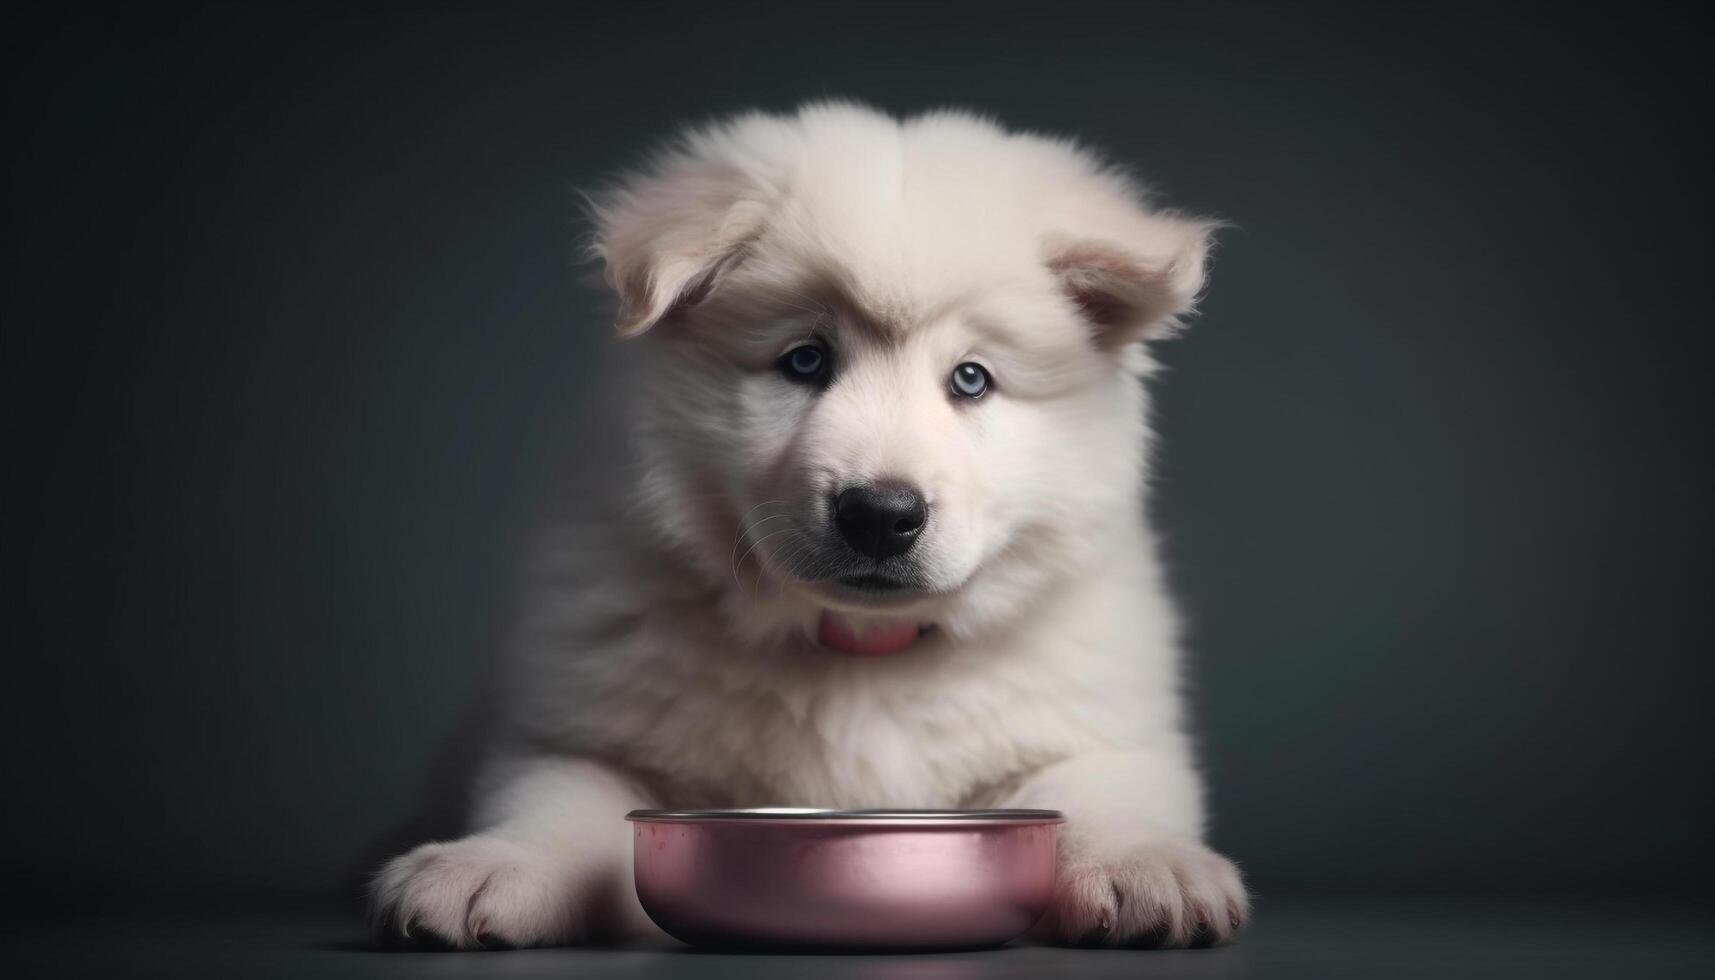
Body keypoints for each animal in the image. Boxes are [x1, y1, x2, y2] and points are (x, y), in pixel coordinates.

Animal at [372, 101, 1248, 954]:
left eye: (971, 380)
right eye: (804, 361)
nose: (881, 515)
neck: (860, 651)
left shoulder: (1101, 733)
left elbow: (1092, 794)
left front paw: (1144, 865)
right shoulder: (575, 736)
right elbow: (554, 801)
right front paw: (488, 864)